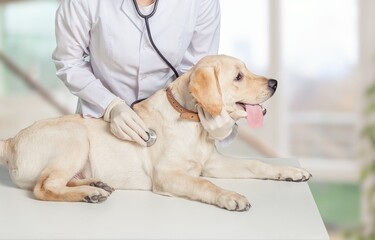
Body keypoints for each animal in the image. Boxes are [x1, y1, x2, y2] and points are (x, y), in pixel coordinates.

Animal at [0, 55, 312, 211]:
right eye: (238, 77)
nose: (274, 83)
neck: (192, 122)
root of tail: (12, 140)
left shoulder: (212, 163)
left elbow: (256, 163)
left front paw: (292, 172)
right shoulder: (168, 174)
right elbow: (205, 184)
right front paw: (229, 197)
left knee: (59, 181)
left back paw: (95, 185)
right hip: (74, 137)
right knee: (44, 187)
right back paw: (90, 194)